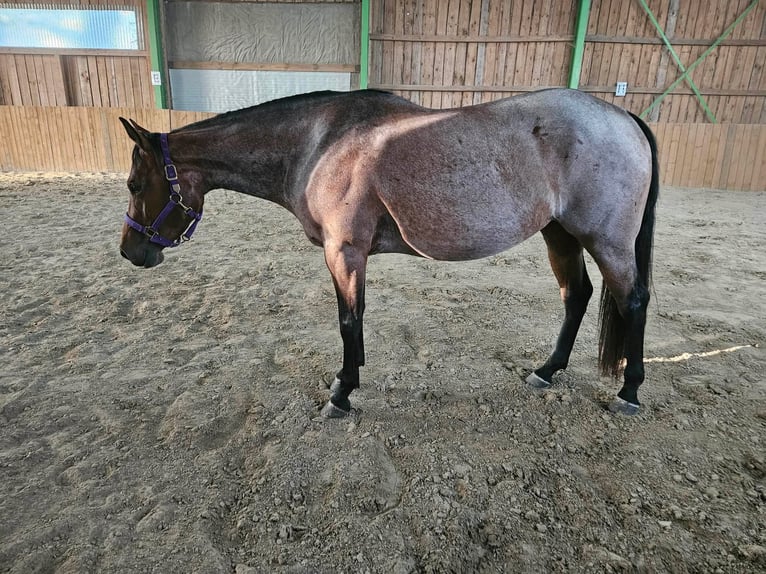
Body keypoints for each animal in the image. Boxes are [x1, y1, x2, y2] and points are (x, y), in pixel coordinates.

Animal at [118, 88, 658, 418]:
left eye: (134, 184)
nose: (130, 251)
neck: (320, 143)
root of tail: (622, 116)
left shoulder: (345, 251)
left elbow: (348, 320)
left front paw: (342, 393)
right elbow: (353, 320)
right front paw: (348, 379)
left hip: (606, 242)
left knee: (632, 301)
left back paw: (629, 392)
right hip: (560, 234)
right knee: (577, 295)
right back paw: (547, 371)